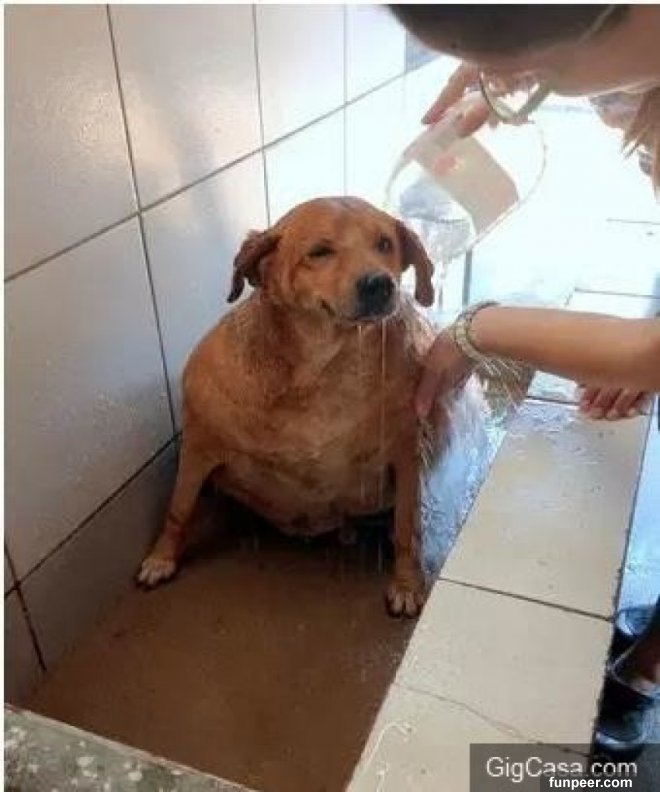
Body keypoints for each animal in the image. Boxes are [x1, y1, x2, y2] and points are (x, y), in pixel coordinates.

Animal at [138, 197, 445, 617]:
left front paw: (406, 583)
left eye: (384, 243)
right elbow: (178, 508)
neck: (321, 367)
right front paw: (162, 558)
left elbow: (407, 526)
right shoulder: (198, 446)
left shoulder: (406, 455)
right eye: (319, 252)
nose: (380, 284)